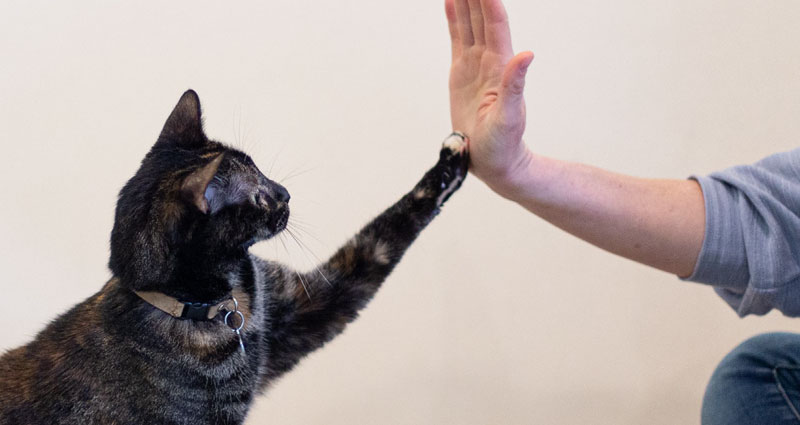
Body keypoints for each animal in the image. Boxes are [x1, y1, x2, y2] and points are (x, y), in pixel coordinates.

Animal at [0, 90, 468, 424]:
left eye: (259, 167)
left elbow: (382, 239)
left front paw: (450, 165)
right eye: (259, 196)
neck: (226, 308)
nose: (285, 193)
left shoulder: (306, 309)